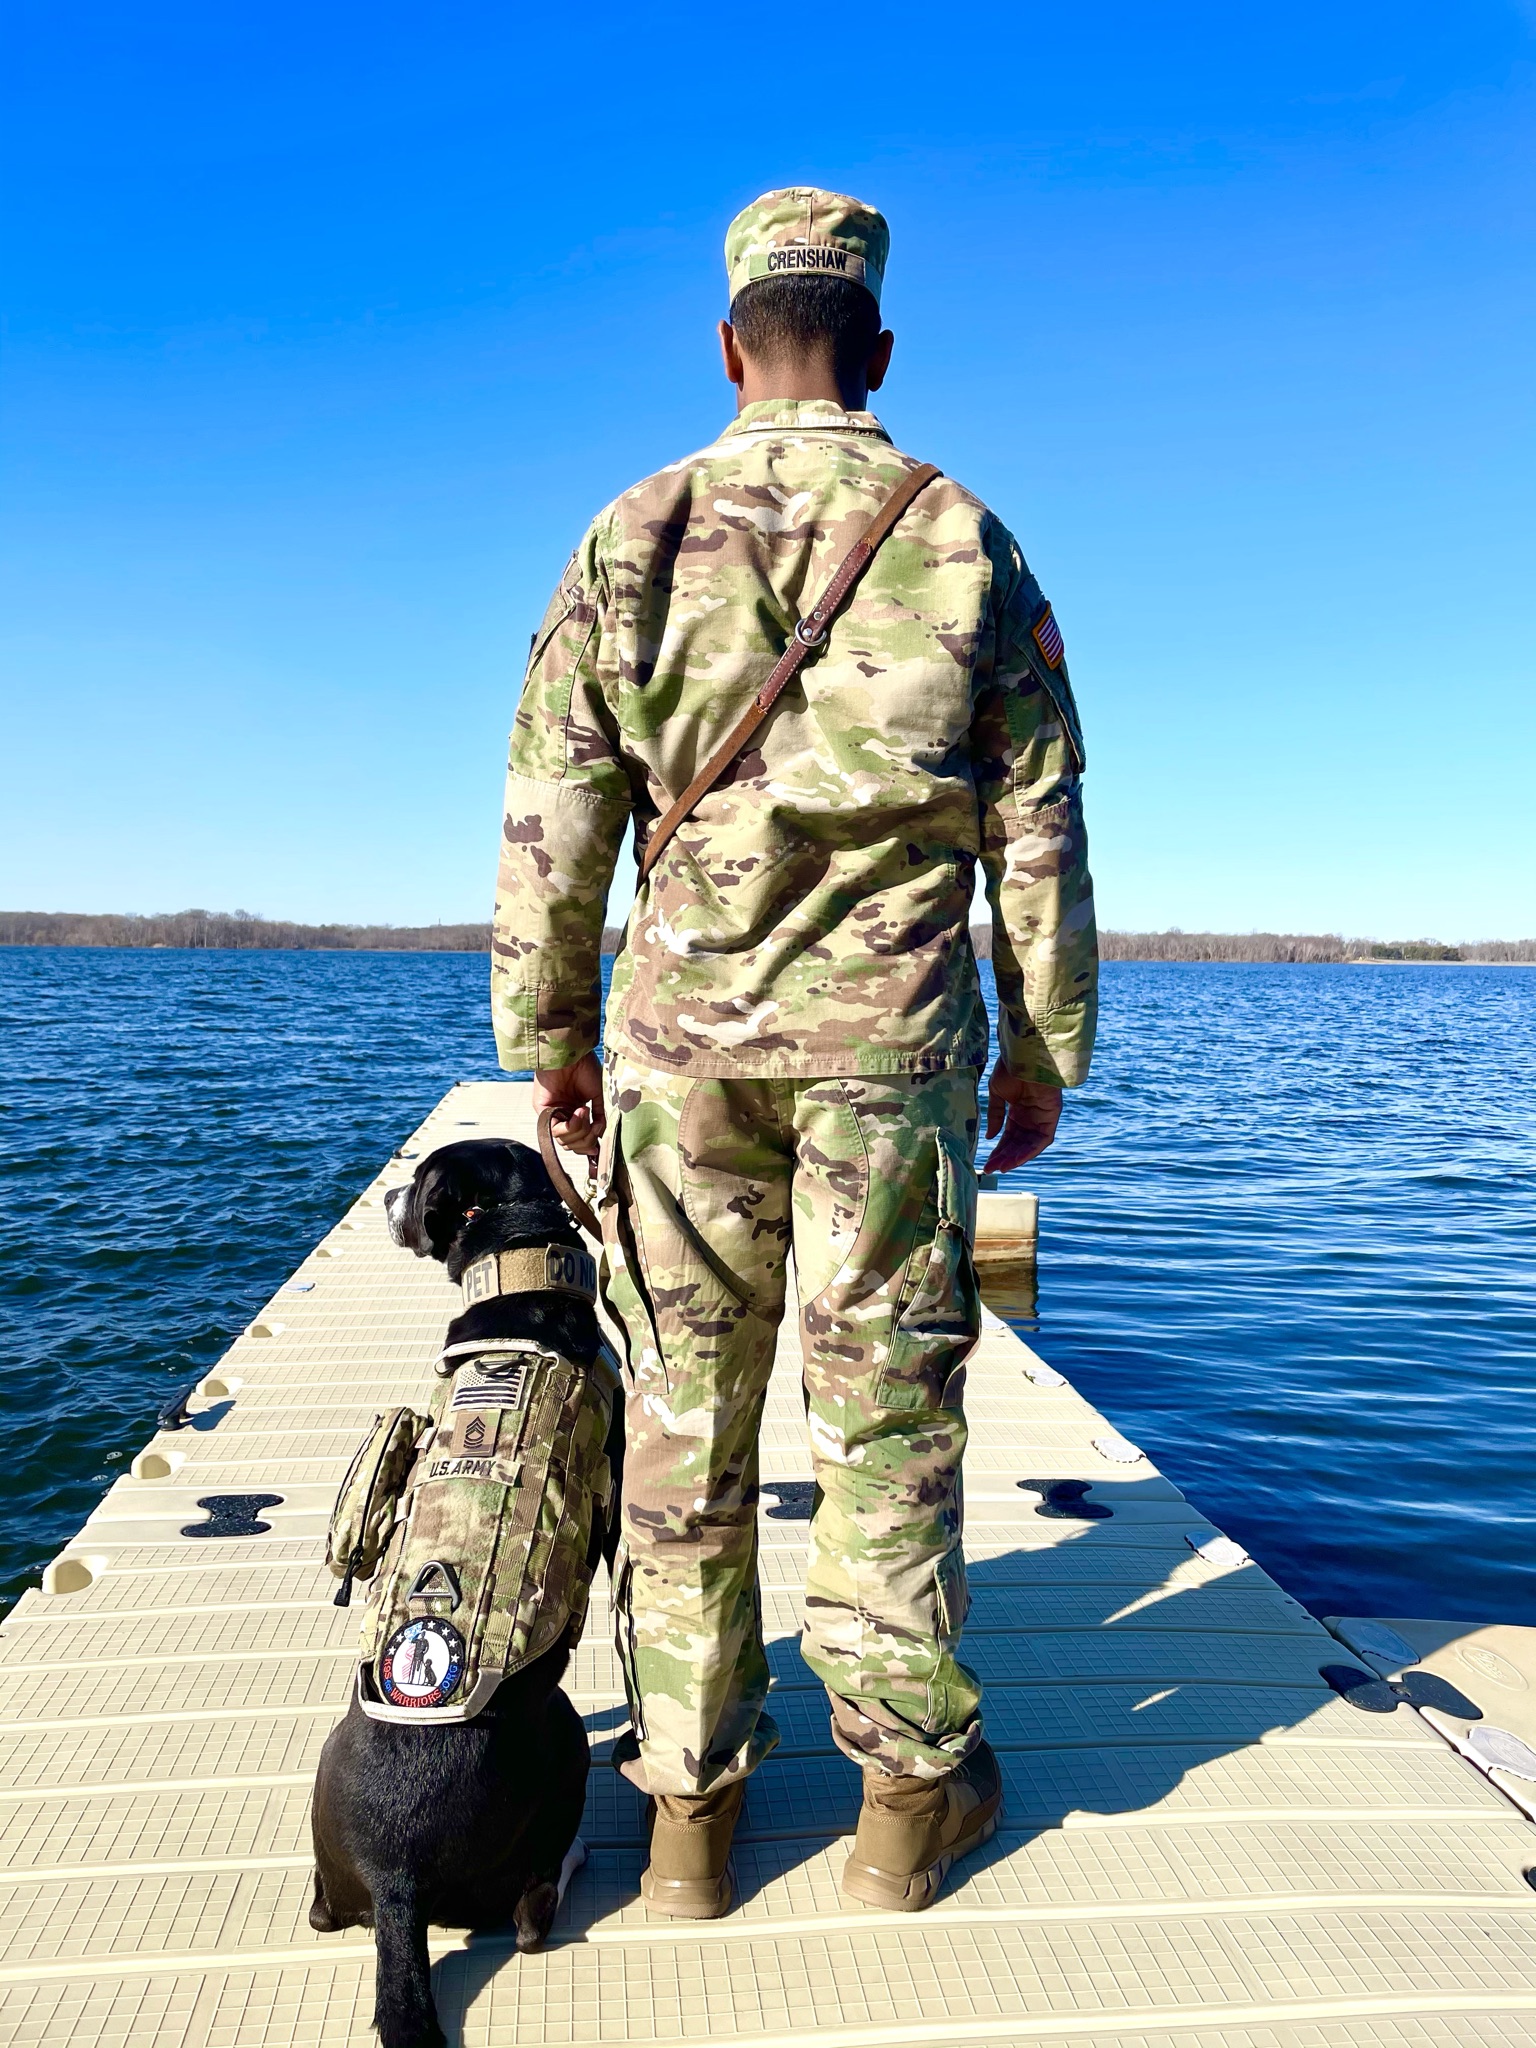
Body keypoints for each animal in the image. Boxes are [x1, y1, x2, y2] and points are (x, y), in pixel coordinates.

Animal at [309, 1137, 622, 2048]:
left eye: (419, 1184)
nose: (386, 1196)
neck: (520, 1267)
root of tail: (396, 1877)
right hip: (561, 1743)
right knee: (530, 1916)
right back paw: (573, 1859)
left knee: (321, 1911)